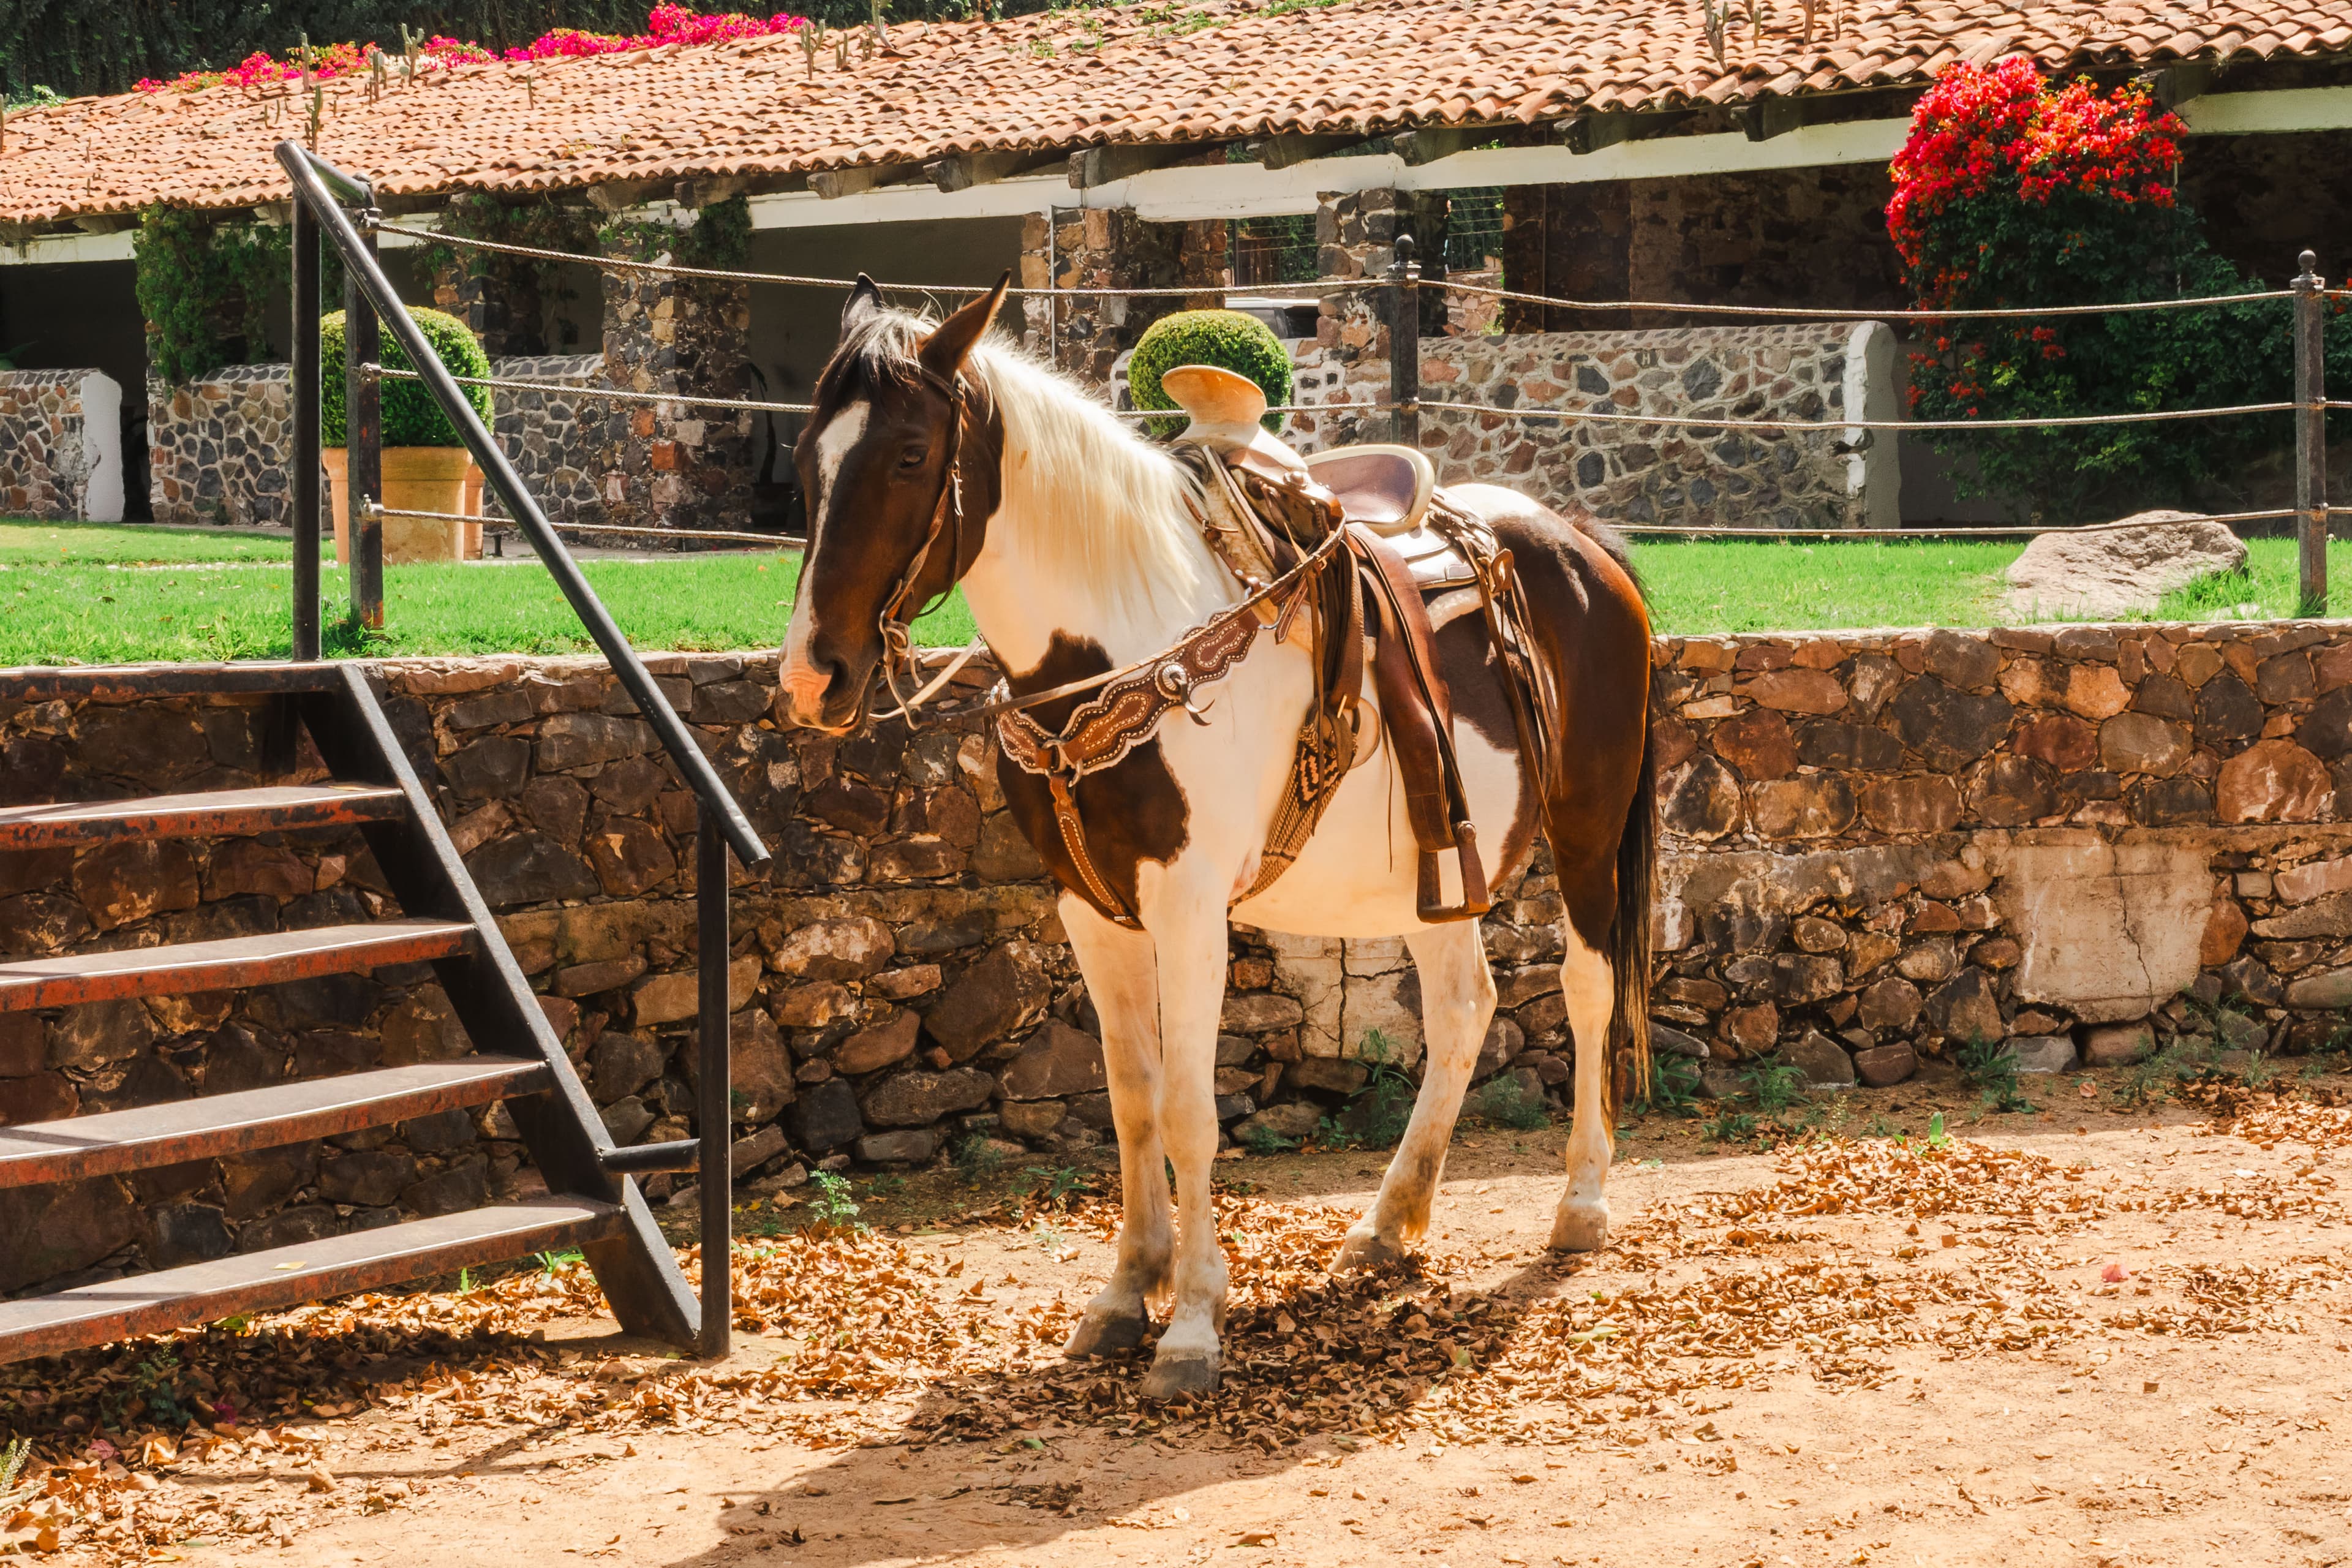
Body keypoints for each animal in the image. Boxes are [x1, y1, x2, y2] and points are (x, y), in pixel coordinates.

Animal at [778, 275, 1655, 1400]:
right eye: (809, 457)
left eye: (907, 455)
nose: (814, 677)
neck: (1118, 646)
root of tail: (1579, 540)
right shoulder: (1090, 908)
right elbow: (1134, 1099)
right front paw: (1124, 1296)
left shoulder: (1189, 907)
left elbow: (1194, 1110)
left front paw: (1193, 1324)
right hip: (1433, 865)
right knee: (1465, 1008)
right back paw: (1390, 1222)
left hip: (1584, 832)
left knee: (1588, 991)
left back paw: (1581, 1204)